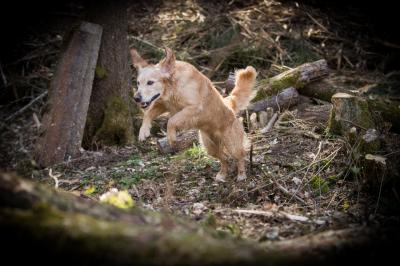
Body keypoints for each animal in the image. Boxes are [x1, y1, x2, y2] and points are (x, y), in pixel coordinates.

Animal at [131, 47, 256, 181]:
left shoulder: (194, 107)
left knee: (240, 155)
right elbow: (147, 114)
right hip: (210, 146)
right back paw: (222, 174)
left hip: (232, 144)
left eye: (150, 82)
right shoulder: (163, 104)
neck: (173, 85)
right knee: (224, 158)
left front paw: (171, 137)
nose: (136, 98)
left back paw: (241, 174)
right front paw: (143, 131)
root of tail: (229, 104)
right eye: (138, 83)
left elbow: (171, 120)